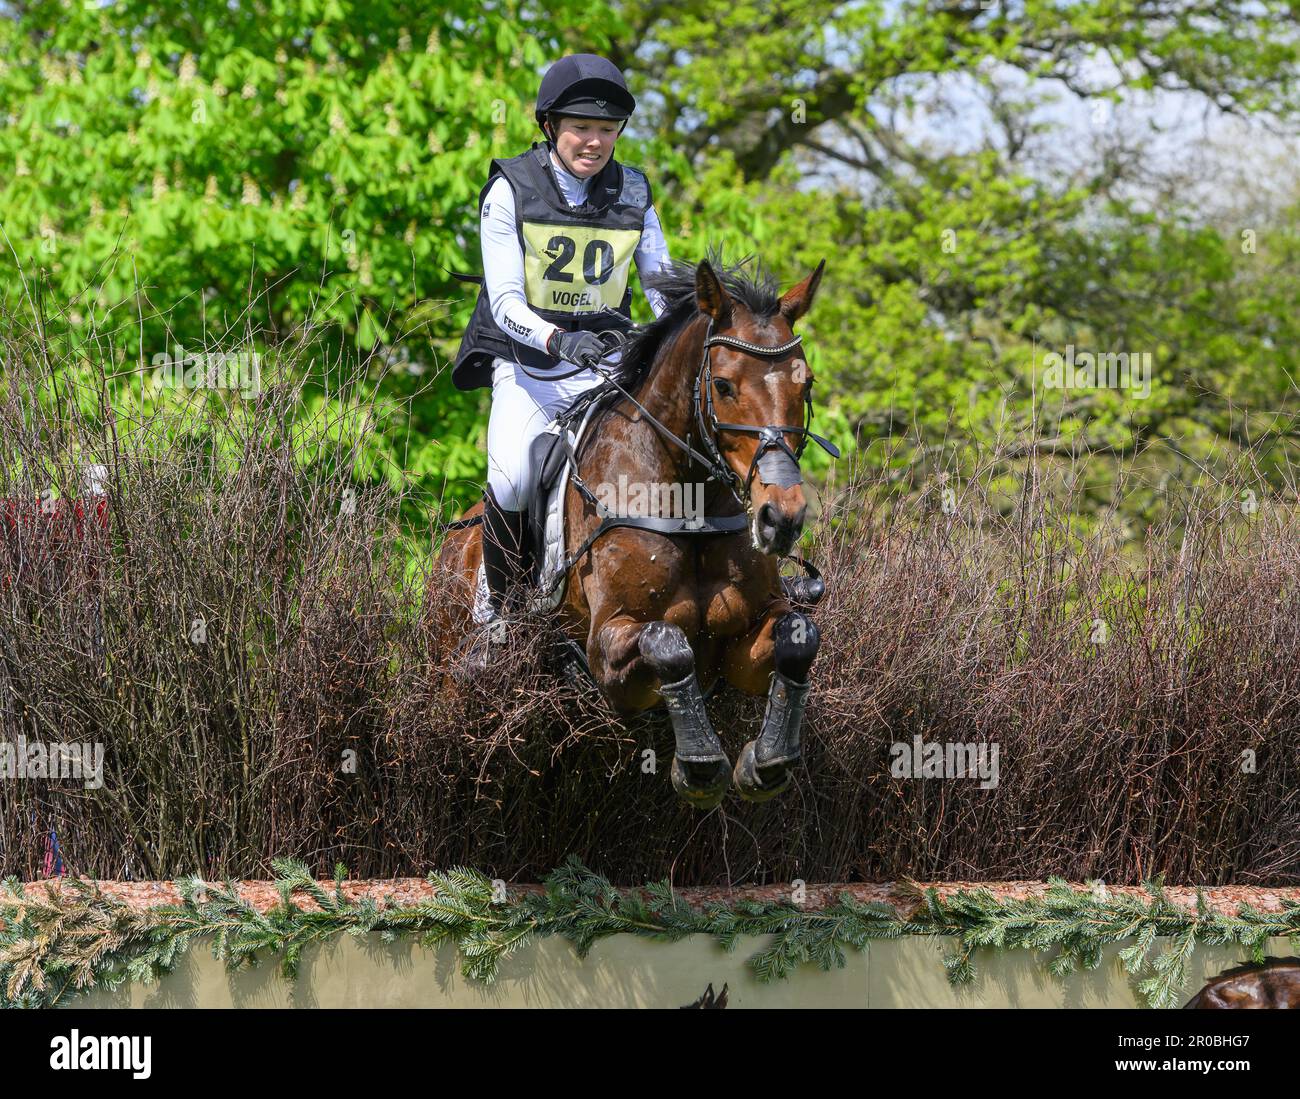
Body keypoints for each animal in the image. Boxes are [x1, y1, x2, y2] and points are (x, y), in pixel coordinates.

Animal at [436, 254, 837, 806]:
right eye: (723, 385)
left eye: (807, 384)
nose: (782, 518)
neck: (690, 504)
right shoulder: (607, 650)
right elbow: (667, 643)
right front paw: (699, 766)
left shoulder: (739, 643)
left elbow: (800, 636)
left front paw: (767, 761)